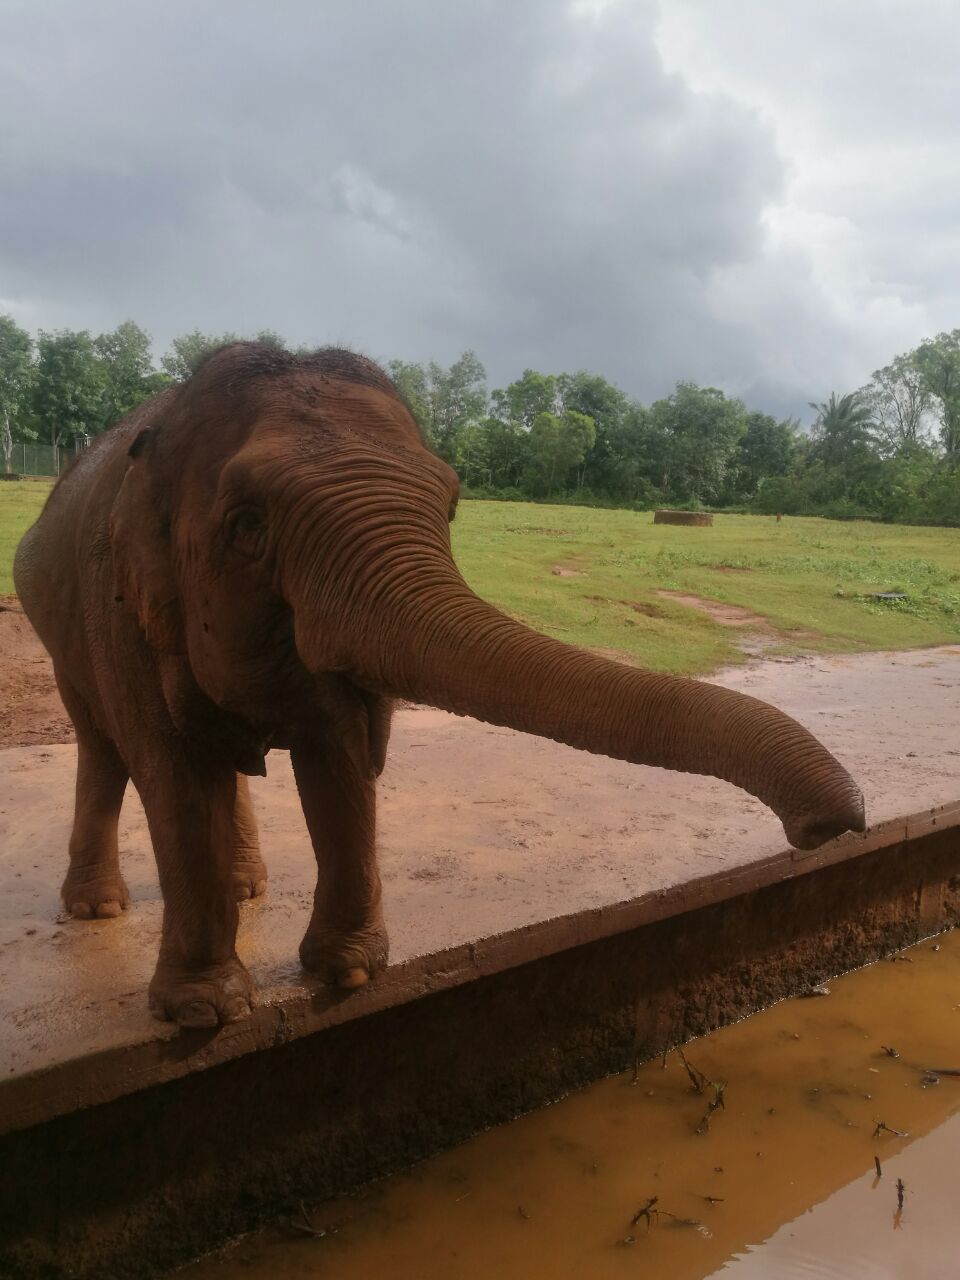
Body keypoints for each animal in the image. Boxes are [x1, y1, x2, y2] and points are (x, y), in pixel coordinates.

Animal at [15, 343, 870, 1029]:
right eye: (247, 524)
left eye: (452, 507)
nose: (832, 827)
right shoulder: (119, 609)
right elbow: (176, 775)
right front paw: (201, 1014)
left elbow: (338, 753)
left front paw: (351, 973)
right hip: (59, 631)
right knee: (104, 747)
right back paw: (99, 907)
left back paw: (248, 886)